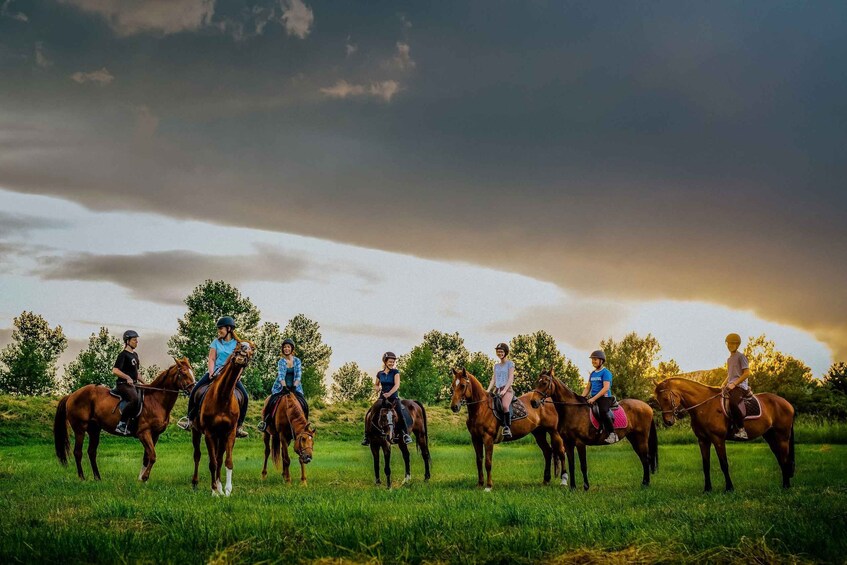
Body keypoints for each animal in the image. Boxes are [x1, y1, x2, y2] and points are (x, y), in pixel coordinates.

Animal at [53, 356, 196, 480]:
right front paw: (144, 477)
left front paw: (141, 479)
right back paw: (82, 478)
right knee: (78, 452)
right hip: (80, 429)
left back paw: (98, 478)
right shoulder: (144, 433)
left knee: (92, 452)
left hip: (94, 430)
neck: (156, 401)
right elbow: (153, 456)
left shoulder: (155, 434)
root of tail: (71, 395)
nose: (193, 390)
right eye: (184, 373)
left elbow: (147, 457)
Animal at [187, 340, 250, 494]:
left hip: (220, 436)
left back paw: (220, 486)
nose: (243, 351)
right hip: (196, 431)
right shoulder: (209, 433)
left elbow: (227, 461)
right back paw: (195, 483)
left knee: (219, 458)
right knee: (197, 455)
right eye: (238, 347)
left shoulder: (230, 433)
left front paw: (226, 490)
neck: (222, 397)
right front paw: (214, 491)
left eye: (251, 350)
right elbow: (212, 463)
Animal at [528, 370, 664, 490]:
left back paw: (646, 484)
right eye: (536, 382)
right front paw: (572, 487)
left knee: (646, 459)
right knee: (643, 459)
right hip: (634, 438)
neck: (573, 410)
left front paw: (586, 487)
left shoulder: (580, 442)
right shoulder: (568, 443)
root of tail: (647, 407)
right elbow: (571, 465)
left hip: (641, 438)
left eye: (544, 383)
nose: (533, 402)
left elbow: (583, 465)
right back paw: (644, 483)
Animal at [656, 376, 796, 492]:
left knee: (784, 458)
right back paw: (785, 483)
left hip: (782, 437)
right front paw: (707, 489)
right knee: (780, 458)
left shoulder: (718, 439)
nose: (668, 421)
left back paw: (786, 485)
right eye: (658, 400)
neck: (705, 405)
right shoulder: (703, 440)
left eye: (665, 398)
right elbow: (705, 465)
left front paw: (729, 488)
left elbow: (724, 464)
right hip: (770, 436)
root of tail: (787, 403)